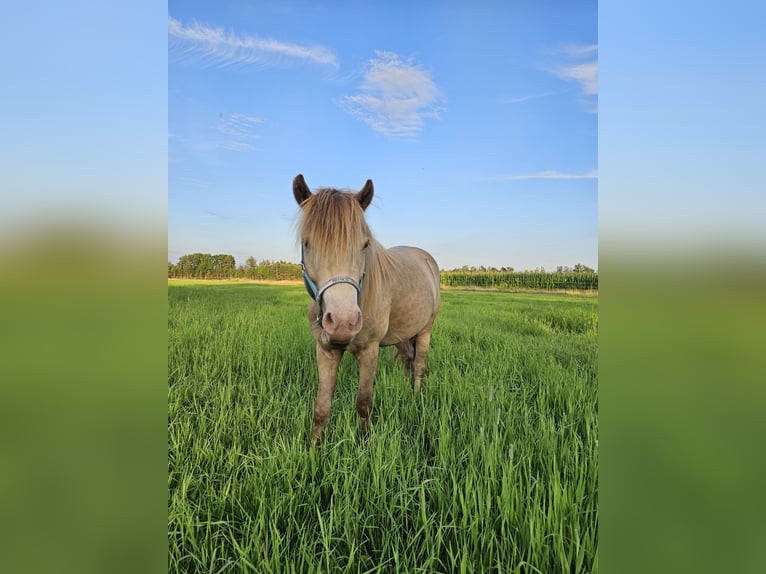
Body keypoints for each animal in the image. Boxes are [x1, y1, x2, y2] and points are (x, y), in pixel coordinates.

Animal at [292, 173, 440, 444]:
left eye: (364, 245)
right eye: (307, 243)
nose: (343, 323)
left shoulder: (370, 351)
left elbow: (363, 403)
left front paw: (365, 442)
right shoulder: (325, 350)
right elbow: (321, 407)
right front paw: (314, 448)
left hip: (426, 329)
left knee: (419, 365)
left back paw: (415, 397)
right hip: (402, 333)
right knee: (407, 357)